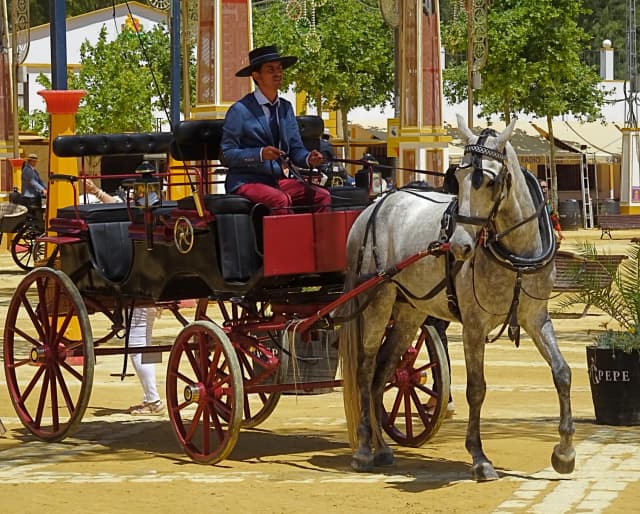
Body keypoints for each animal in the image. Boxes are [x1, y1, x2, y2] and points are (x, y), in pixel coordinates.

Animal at [338, 114, 575, 480]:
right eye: (458, 179)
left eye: (490, 181)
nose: (460, 245)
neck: (515, 253)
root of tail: (375, 205)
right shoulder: (474, 327)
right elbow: (476, 389)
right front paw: (479, 457)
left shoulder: (535, 318)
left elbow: (562, 372)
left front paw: (564, 452)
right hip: (377, 303)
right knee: (365, 370)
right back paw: (364, 449)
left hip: (409, 313)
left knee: (383, 372)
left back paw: (383, 449)